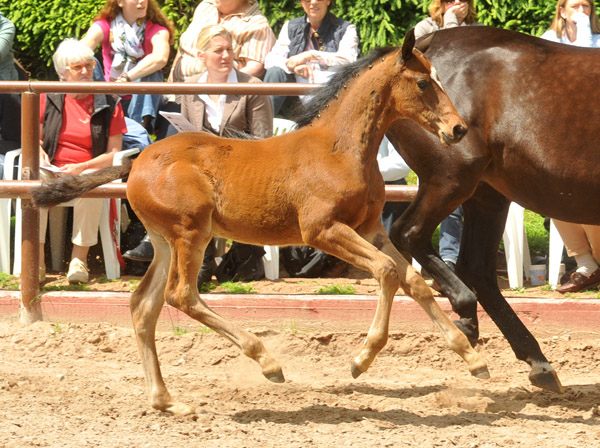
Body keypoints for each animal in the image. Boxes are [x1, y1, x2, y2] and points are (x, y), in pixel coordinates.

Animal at [34, 31, 488, 416]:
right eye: (424, 83)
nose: (458, 128)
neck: (340, 149)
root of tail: (136, 161)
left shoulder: (369, 228)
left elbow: (413, 282)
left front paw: (473, 359)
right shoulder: (322, 231)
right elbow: (388, 271)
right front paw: (361, 359)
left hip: (165, 241)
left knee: (143, 305)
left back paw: (167, 401)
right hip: (191, 233)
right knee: (181, 296)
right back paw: (268, 363)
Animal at [384, 26, 600, 394]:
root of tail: (419, 47)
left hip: (487, 195)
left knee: (477, 269)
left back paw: (534, 360)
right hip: (452, 178)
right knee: (409, 233)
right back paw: (466, 313)